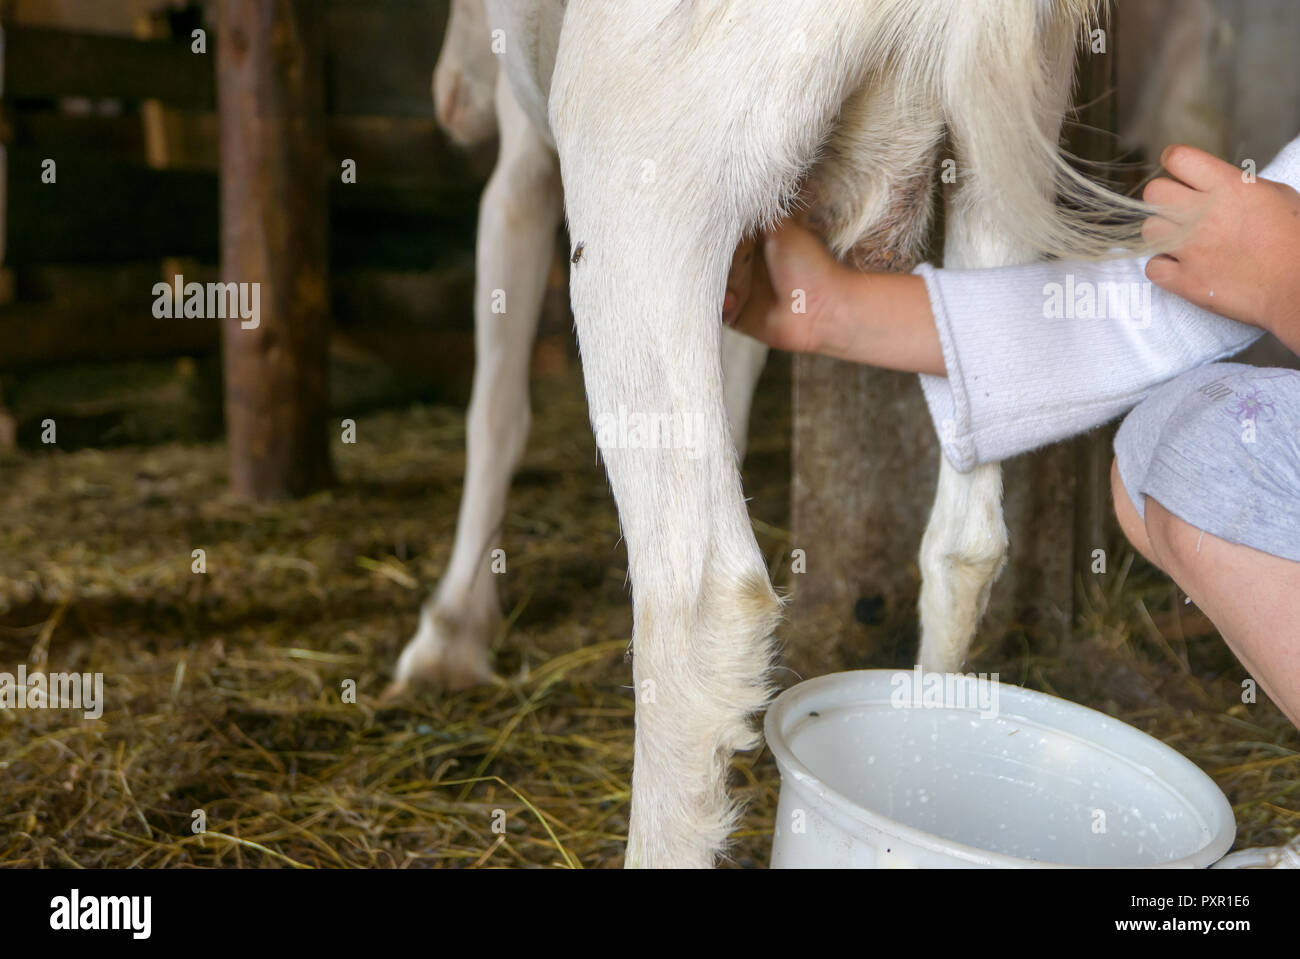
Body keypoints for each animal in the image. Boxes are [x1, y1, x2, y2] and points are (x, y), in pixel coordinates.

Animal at [392, 0, 1138, 868]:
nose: (450, 102)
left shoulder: (525, 159)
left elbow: (495, 408)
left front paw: (448, 636)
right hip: (1008, 143)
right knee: (967, 539)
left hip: (635, 157)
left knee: (701, 604)